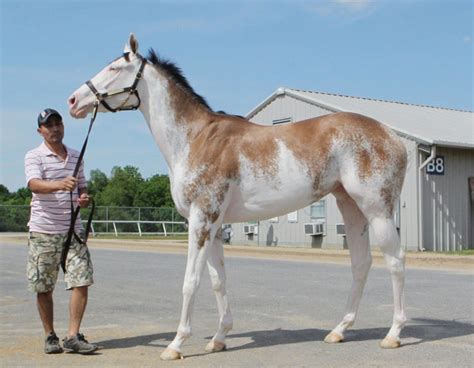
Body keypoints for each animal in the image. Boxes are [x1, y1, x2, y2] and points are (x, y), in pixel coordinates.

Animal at [68, 33, 410, 360]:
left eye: (115, 68)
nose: (74, 100)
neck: (195, 139)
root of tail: (392, 137)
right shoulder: (215, 225)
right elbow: (218, 280)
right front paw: (219, 339)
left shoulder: (201, 221)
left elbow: (191, 281)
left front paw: (176, 344)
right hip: (351, 208)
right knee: (361, 264)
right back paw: (339, 330)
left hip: (377, 210)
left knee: (395, 261)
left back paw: (393, 334)